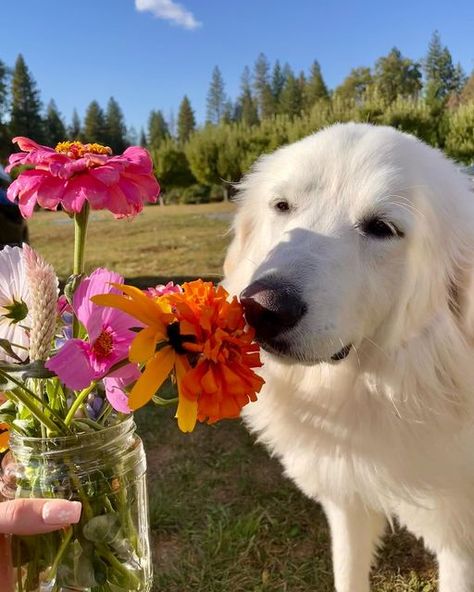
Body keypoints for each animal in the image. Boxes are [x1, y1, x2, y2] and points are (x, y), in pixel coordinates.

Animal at [224, 121, 474, 592]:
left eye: (382, 227)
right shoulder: (347, 501)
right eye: (282, 206)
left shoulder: (459, 538)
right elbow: (349, 572)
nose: (262, 309)